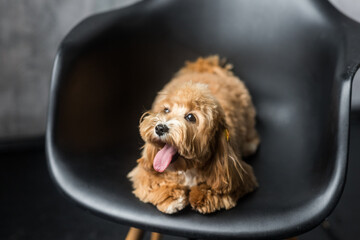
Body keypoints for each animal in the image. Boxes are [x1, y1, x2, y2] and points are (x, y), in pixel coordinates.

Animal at [128, 56, 260, 214]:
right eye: (166, 110)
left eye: (191, 117)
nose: (160, 128)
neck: (188, 169)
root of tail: (206, 68)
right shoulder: (143, 172)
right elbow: (153, 181)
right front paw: (171, 197)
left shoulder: (239, 177)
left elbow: (221, 187)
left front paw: (202, 195)